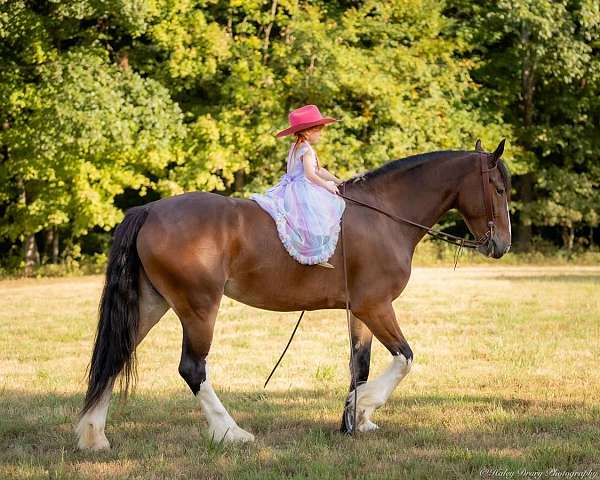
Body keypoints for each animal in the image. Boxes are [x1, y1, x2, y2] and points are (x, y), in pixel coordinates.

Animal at [72, 139, 508, 450]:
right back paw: (230, 432)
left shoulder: (360, 311)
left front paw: (355, 419)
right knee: (192, 368)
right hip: (198, 308)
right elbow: (404, 360)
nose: (501, 245)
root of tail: (147, 210)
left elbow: (361, 366)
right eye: (499, 188)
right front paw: (361, 407)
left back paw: (94, 436)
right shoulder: (375, 306)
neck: (384, 216)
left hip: (151, 303)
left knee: (115, 357)